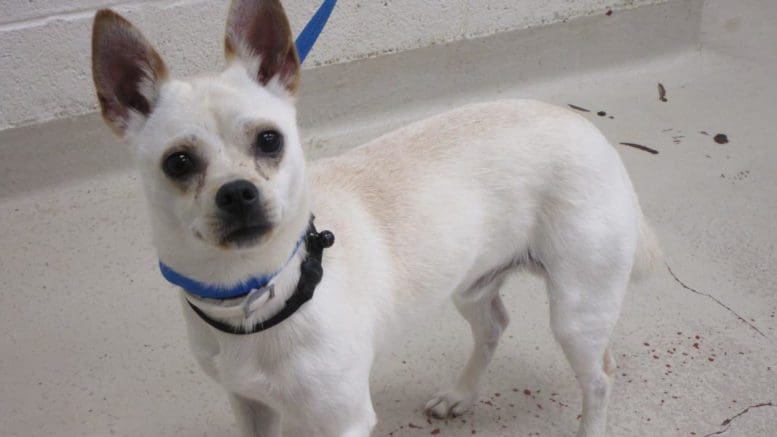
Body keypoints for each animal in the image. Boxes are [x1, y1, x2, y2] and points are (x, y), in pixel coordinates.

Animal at [92, 1, 660, 434]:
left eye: (270, 140)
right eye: (178, 163)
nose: (237, 193)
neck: (258, 295)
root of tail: (587, 127)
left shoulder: (342, 421)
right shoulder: (250, 408)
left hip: (577, 315)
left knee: (600, 378)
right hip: (468, 283)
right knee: (494, 326)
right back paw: (461, 393)